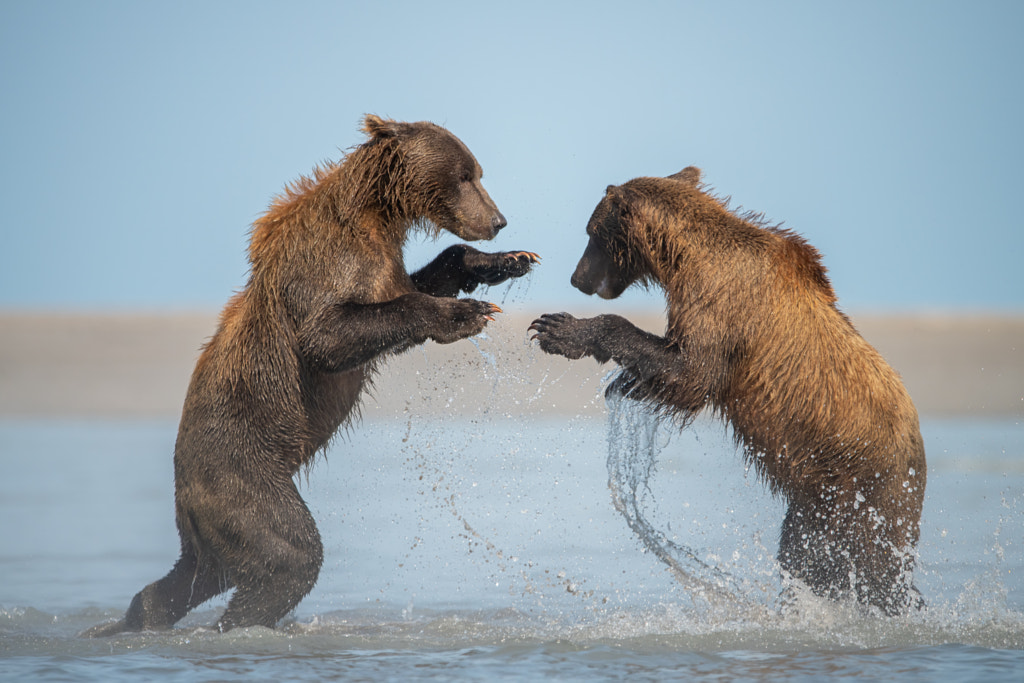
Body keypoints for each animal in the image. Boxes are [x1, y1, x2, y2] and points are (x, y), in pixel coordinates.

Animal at [88, 113, 540, 634]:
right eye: (466, 175)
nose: (498, 221)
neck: (377, 215)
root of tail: (183, 491)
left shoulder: (381, 265)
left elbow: (419, 282)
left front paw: (509, 261)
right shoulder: (326, 268)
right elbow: (330, 337)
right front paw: (467, 313)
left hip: (214, 520)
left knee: (198, 574)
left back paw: (137, 616)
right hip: (242, 476)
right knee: (288, 554)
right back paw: (237, 623)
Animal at [532, 167, 925, 618]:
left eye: (591, 232)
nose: (576, 278)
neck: (683, 259)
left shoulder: (721, 304)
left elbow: (693, 373)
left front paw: (559, 329)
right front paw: (625, 381)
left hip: (864, 490)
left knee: (863, 567)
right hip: (817, 499)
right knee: (803, 554)